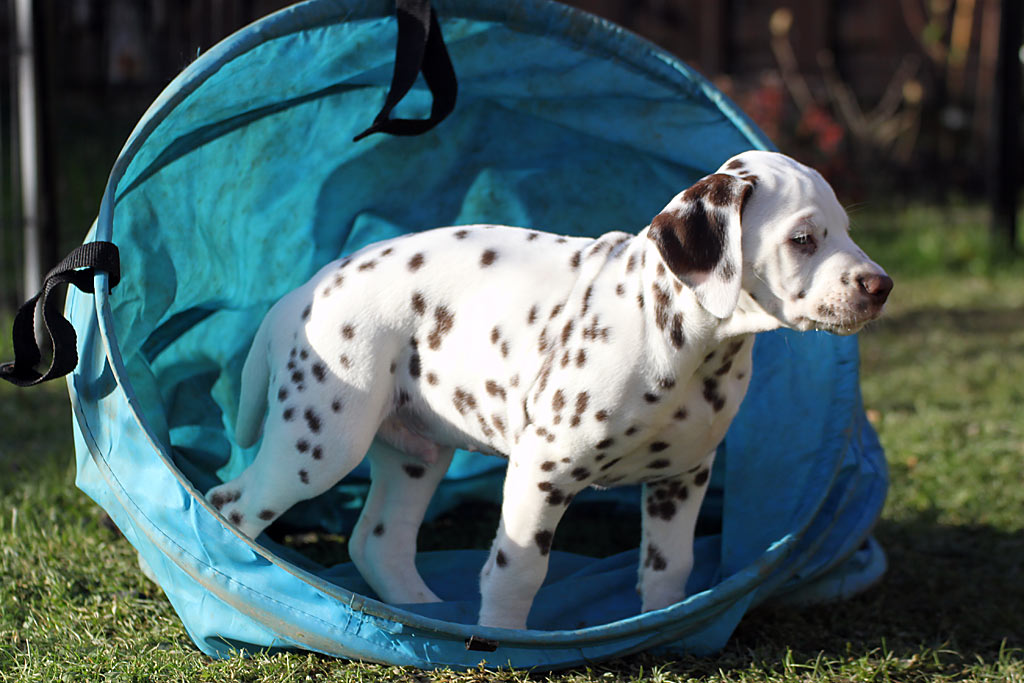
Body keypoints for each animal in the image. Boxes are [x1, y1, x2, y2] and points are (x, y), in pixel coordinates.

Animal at [206, 150, 892, 630]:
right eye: (803, 240)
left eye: (847, 231)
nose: (880, 285)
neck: (686, 343)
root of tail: (305, 290)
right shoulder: (544, 469)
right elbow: (519, 568)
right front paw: (503, 639)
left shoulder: (683, 476)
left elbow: (670, 567)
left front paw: (662, 626)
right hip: (320, 446)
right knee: (232, 506)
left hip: (417, 456)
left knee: (378, 541)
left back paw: (424, 615)